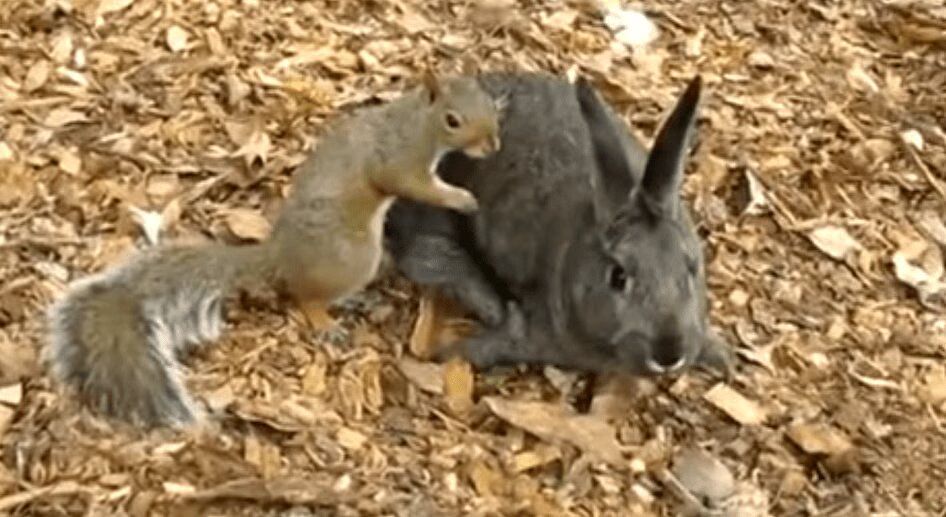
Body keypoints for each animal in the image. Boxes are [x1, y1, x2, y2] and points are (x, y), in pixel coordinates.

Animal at [45, 73, 503, 428]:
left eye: (486, 102)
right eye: (453, 120)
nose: (493, 145)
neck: (416, 122)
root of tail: (279, 257)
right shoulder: (398, 161)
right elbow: (415, 185)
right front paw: (461, 198)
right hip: (354, 256)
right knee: (305, 296)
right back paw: (326, 322)